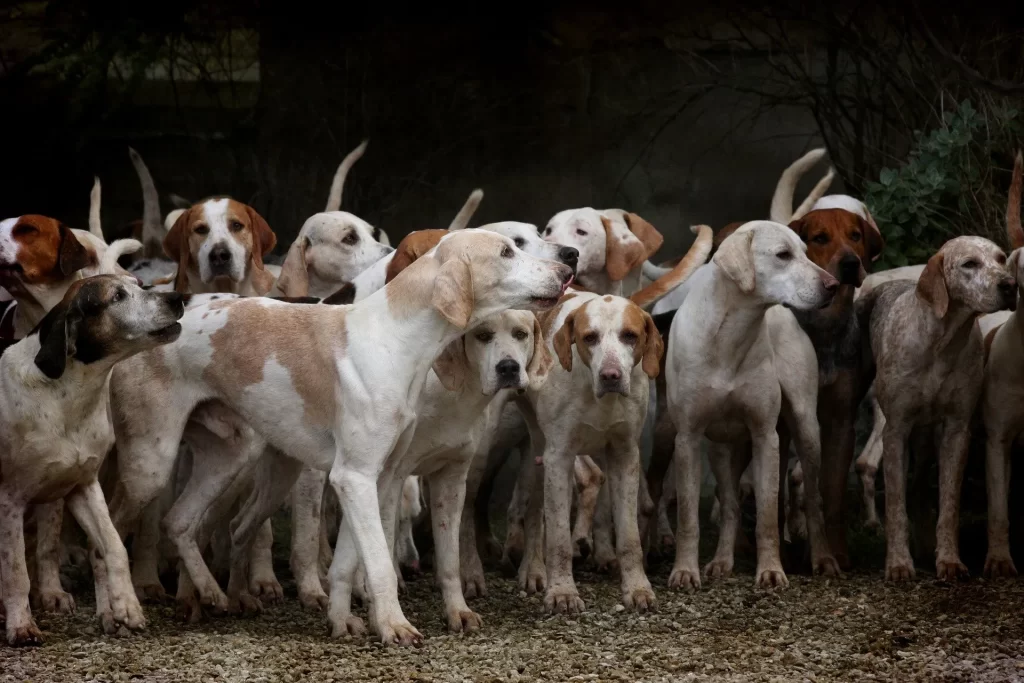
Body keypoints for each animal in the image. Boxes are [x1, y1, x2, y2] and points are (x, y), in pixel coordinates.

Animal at [1, 274, 184, 647]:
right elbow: (15, 572)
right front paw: (21, 625)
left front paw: (125, 605)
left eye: (140, 284)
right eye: (117, 297)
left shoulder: (84, 486)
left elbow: (113, 546)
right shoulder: (9, 499)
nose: (177, 297)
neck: (65, 395)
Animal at [663, 222, 839, 589]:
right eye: (783, 255)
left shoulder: (765, 436)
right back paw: (721, 561)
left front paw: (771, 570)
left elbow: (768, 515)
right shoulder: (687, 438)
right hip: (721, 449)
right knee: (729, 503)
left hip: (806, 429)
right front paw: (684, 570)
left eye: (806, 252)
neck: (729, 335)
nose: (834, 285)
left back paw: (823, 558)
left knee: (813, 500)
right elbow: (688, 517)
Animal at [860, 236, 1019, 581]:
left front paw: (948, 560)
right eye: (969, 264)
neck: (941, 343)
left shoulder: (957, 431)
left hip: (927, 442)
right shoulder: (895, 432)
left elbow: (948, 504)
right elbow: (895, 506)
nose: (1010, 285)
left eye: (1002, 259)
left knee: (919, 488)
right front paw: (898, 563)